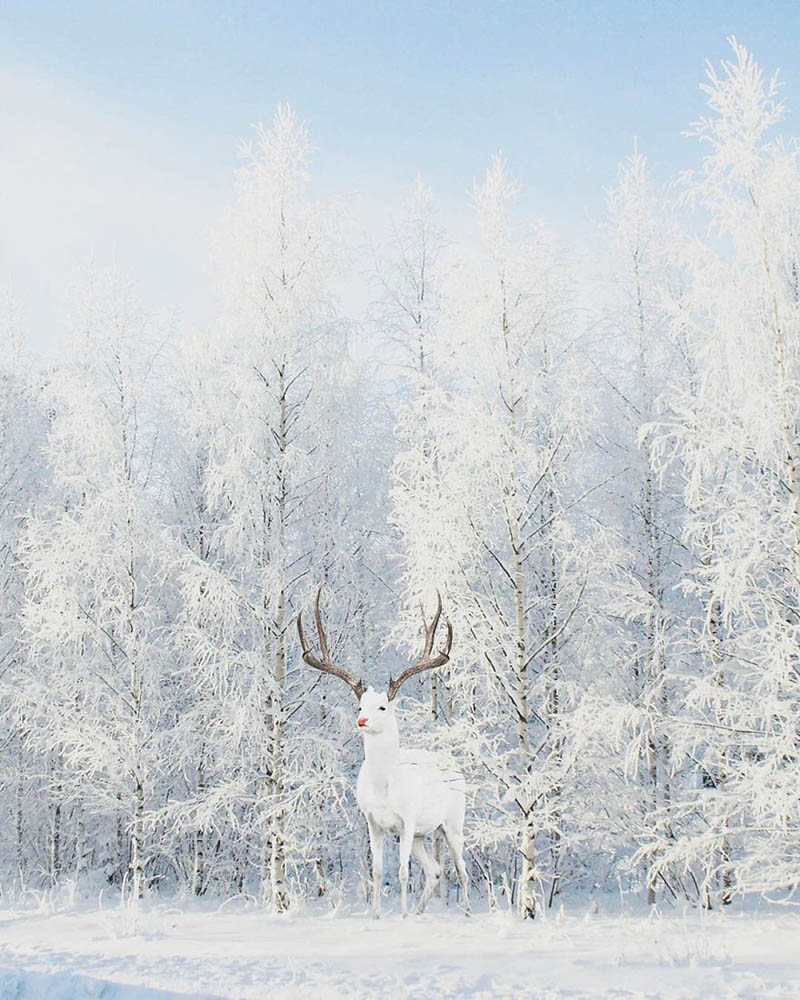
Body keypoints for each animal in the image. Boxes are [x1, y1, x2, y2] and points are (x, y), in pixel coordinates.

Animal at [296, 588, 468, 916]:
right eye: (359, 706)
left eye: (383, 707)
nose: (361, 720)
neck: (384, 788)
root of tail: (456, 767)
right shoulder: (373, 821)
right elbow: (376, 872)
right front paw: (376, 915)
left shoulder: (408, 820)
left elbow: (401, 873)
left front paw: (401, 916)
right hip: (423, 834)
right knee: (435, 870)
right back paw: (420, 912)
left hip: (453, 821)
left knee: (460, 868)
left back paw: (464, 914)